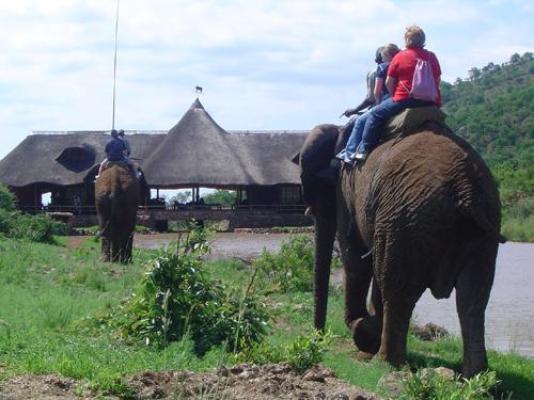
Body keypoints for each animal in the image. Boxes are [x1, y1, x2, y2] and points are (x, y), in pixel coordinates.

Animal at [302, 113, 506, 378]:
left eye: (318, 184)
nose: (317, 339)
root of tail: (466, 189)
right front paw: (369, 328)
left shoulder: (346, 191)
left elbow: (356, 258)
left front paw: (364, 330)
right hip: (477, 226)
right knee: (473, 298)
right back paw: (476, 376)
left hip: (406, 219)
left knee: (397, 290)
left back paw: (384, 364)